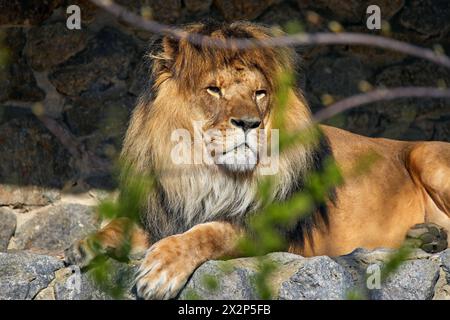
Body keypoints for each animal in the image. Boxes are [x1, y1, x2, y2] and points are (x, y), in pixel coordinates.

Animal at [64, 21, 450, 298]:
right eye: (214, 89)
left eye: (259, 93)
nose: (249, 123)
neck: (205, 174)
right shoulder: (166, 212)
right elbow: (123, 225)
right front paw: (85, 246)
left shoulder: (268, 231)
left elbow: (210, 232)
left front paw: (162, 268)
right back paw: (425, 236)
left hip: (427, 156)